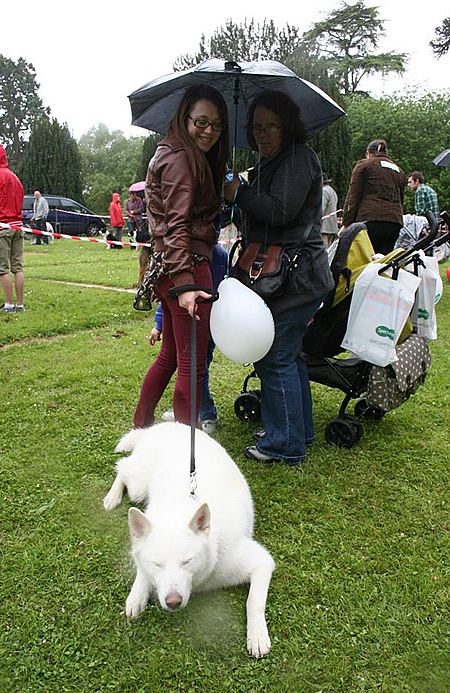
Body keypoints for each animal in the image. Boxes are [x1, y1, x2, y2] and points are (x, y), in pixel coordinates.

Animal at [103, 422, 274, 656]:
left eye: (187, 561)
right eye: (157, 564)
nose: (173, 602)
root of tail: (160, 426)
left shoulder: (261, 562)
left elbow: (253, 601)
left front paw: (256, 636)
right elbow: (141, 572)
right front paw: (137, 594)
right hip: (138, 487)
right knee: (122, 468)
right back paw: (112, 496)